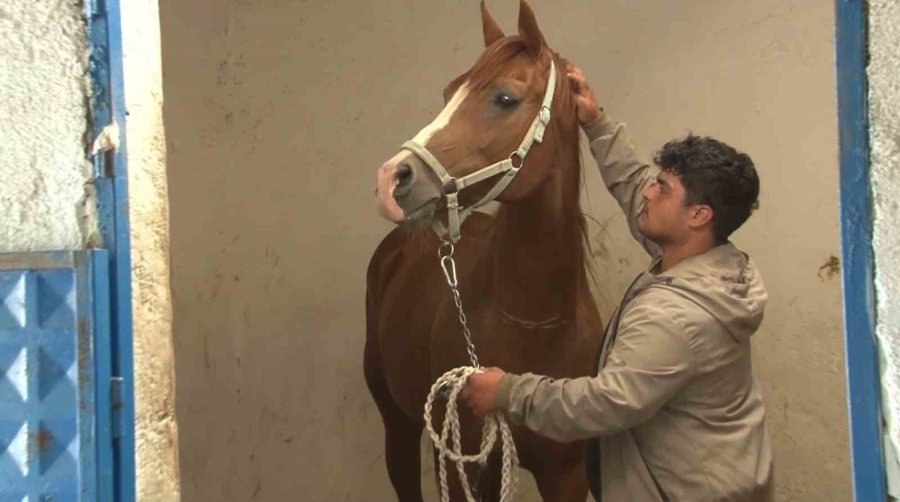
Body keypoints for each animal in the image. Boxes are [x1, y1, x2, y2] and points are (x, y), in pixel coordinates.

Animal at [362, 1, 600, 500]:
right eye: (449, 91)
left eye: (505, 98)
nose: (392, 177)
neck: (534, 324)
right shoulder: (470, 466)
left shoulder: (567, 472)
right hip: (398, 422)